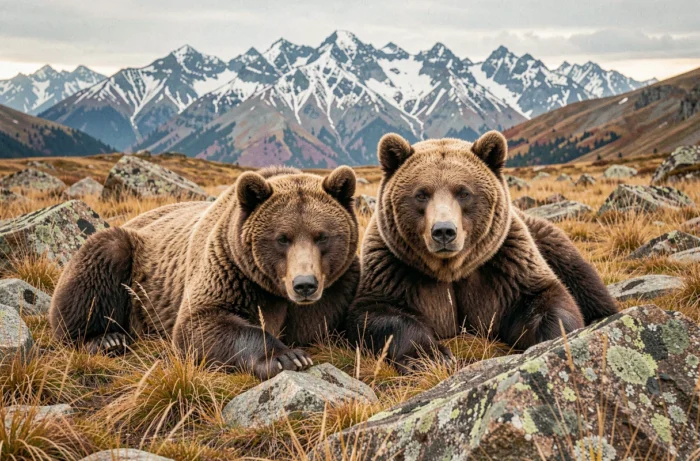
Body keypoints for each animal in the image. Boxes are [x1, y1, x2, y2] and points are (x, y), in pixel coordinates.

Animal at [49, 166, 360, 380]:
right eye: (282, 238)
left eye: (322, 236)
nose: (304, 284)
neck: (275, 291)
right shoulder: (230, 270)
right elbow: (198, 324)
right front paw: (287, 357)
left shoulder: (338, 290)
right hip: (131, 259)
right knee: (100, 259)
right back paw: (105, 339)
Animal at [347, 132, 618, 370]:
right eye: (421, 194)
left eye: (464, 192)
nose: (444, 231)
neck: (451, 270)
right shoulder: (395, 271)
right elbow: (379, 317)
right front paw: (435, 356)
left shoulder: (506, 268)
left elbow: (547, 299)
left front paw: (555, 340)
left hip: (548, 241)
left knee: (580, 275)